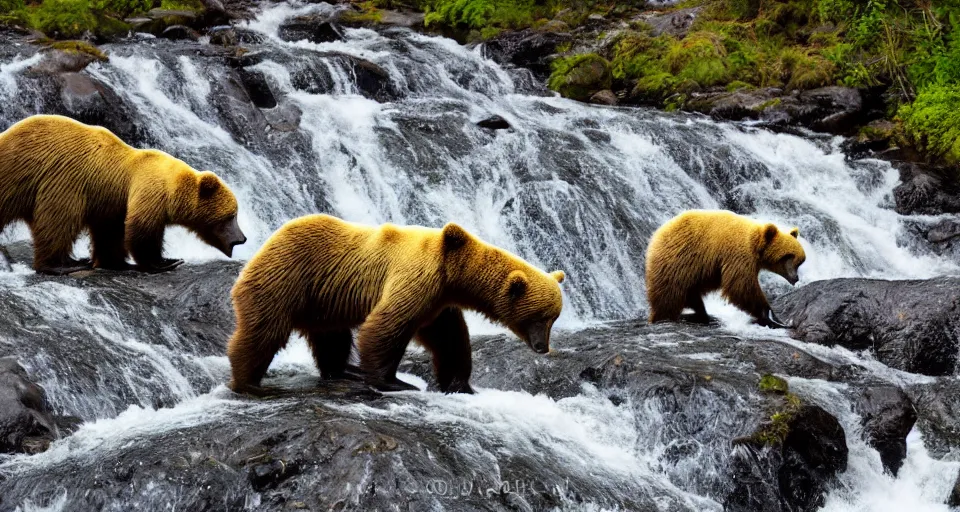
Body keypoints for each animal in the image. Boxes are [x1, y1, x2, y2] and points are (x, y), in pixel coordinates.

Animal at [0, 115, 246, 276]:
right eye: (231, 215)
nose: (242, 238)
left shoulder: (111, 203)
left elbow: (110, 233)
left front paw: (115, 262)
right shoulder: (147, 190)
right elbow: (142, 231)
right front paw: (166, 261)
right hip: (53, 179)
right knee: (59, 221)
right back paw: (64, 264)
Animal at [228, 214, 568, 394]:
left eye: (554, 318)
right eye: (539, 317)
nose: (543, 347)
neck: (453, 272)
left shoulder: (439, 301)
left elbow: (450, 339)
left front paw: (460, 383)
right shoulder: (416, 278)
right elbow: (387, 325)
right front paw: (395, 382)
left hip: (322, 301)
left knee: (332, 337)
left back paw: (344, 370)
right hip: (286, 280)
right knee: (264, 331)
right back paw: (248, 382)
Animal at [644, 211, 804, 328]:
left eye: (800, 261)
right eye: (788, 256)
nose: (796, 278)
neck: (755, 246)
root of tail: (657, 234)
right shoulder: (738, 256)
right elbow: (742, 287)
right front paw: (774, 318)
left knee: (692, 295)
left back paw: (703, 314)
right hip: (675, 265)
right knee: (668, 297)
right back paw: (662, 317)